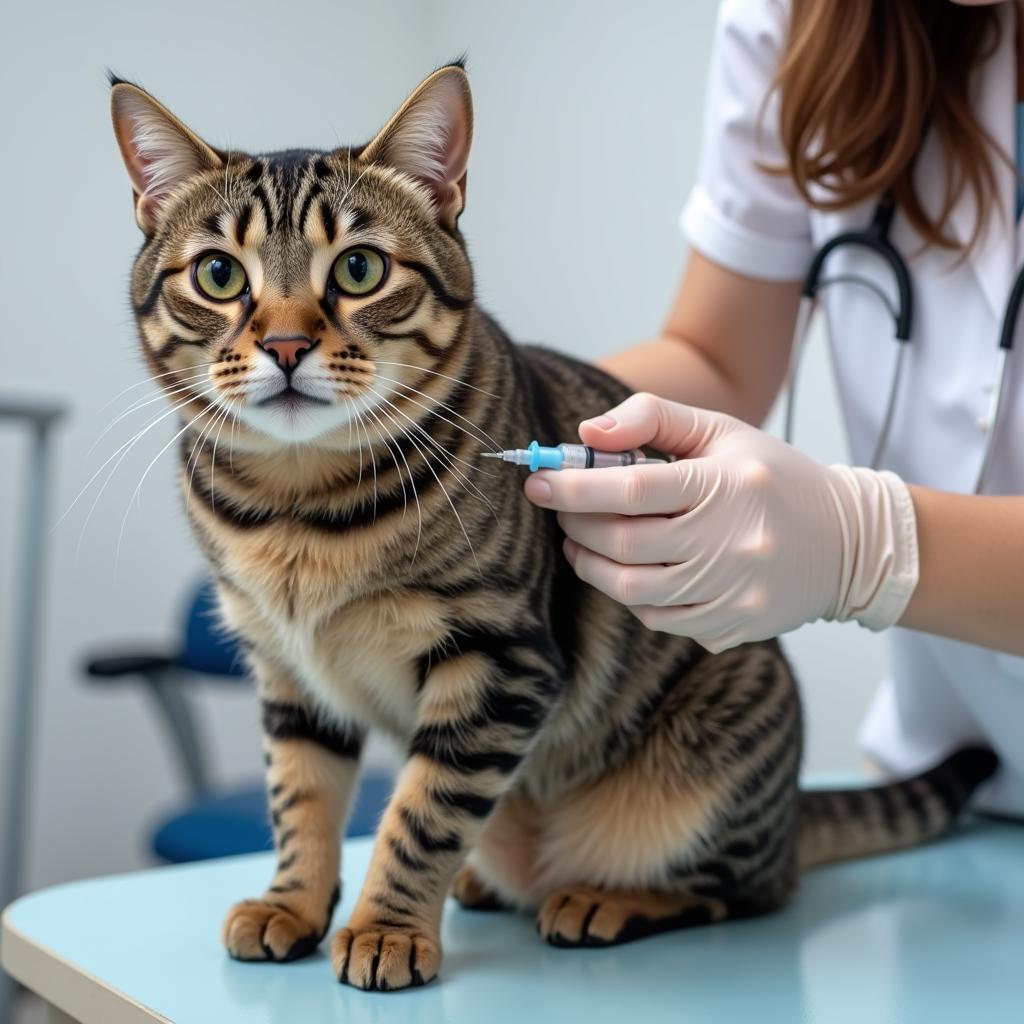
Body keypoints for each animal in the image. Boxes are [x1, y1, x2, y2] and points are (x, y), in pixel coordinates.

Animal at [108, 66, 995, 991]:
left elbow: (421, 813)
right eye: (218, 275)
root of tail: (792, 812)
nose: (284, 344)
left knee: (745, 888)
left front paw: (386, 928)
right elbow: (300, 801)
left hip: (714, 765)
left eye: (358, 268)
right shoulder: (288, 676)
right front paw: (292, 903)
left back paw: (602, 898)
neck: (298, 504)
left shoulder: (498, 660)